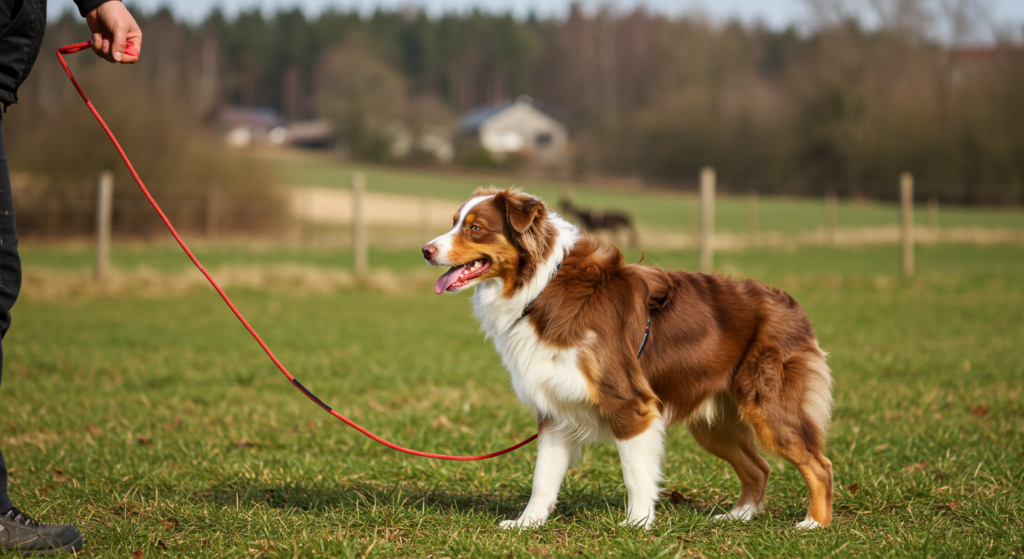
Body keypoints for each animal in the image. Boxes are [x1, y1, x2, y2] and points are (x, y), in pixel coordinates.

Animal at [421, 187, 831, 528]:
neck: (541, 286)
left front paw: (637, 525)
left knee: (819, 464)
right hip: (714, 423)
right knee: (759, 467)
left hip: (767, 405)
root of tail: (790, 305)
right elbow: (543, 478)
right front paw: (527, 524)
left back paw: (814, 524)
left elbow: (634, 473)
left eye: (475, 228)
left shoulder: (630, 403)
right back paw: (738, 516)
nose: (425, 250)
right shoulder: (555, 408)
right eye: (454, 222)